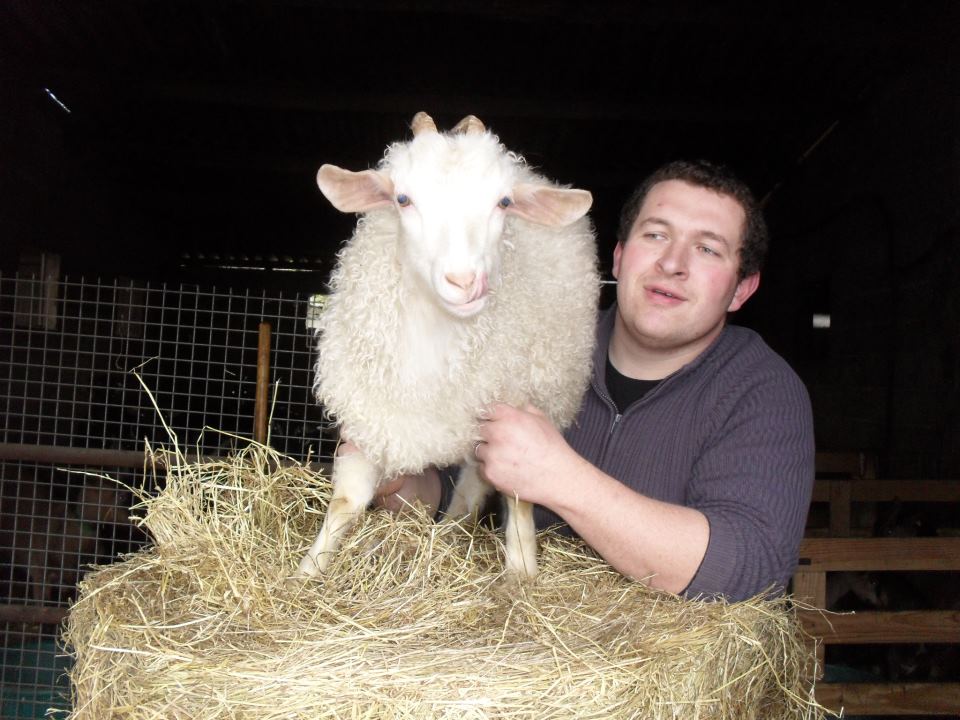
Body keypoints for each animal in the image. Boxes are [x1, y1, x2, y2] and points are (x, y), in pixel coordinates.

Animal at [300, 114, 600, 584]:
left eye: (504, 202)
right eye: (403, 199)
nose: (465, 281)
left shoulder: (517, 410)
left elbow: (520, 495)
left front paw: (522, 575)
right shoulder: (369, 415)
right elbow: (346, 501)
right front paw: (307, 571)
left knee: (477, 483)